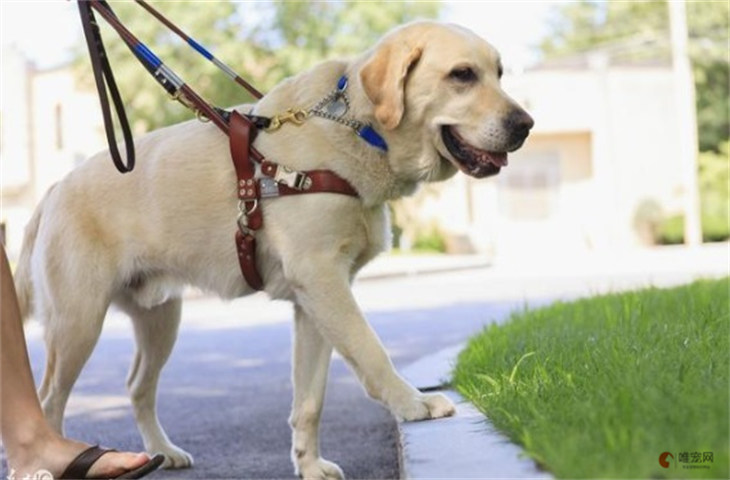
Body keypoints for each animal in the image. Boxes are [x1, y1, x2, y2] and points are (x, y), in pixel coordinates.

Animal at [15, 20, 528, 478]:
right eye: (462, 75)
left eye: (499, 73)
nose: (526, 124)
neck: (359, 129)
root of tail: (53, 190)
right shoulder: (323, 281)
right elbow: (372, 351)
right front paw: (413, 404)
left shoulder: (315, 303)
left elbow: (310, 399)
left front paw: (309, 465)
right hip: (78, 324)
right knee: (49, 401)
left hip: (161, 319)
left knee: (138, 386)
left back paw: (163, 451)